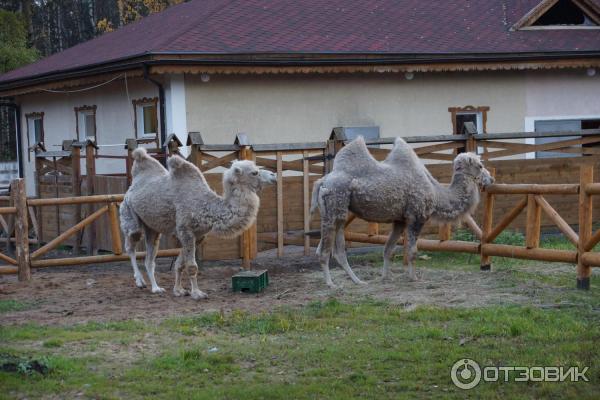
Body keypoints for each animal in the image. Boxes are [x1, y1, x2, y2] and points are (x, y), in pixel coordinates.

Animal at [120, 148, 278, 298]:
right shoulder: (185, 231)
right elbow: (192, 266)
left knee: (150, 257)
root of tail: (133, 185)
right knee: (131, 245)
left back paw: (155, 288)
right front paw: (197, 293)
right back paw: (140, 281)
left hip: (152, 228)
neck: (206, 206)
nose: (274, 176)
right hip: (130, 215)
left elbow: (179, 264)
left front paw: (178, 290)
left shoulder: (198, 235)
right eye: (254, 172)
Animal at [312, 136, 494, 286]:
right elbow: (412, 251)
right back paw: (331, 284)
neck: (437, 194)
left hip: (337, 212)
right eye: (480, 165)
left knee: (337, 249)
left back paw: (358, 281)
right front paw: (413, 278)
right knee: (324, 251)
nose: (491, 179)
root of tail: (322, 181)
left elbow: (388, 250)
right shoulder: (417, 216)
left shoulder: (399, 220)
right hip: (334, 204)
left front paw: (386, 277)